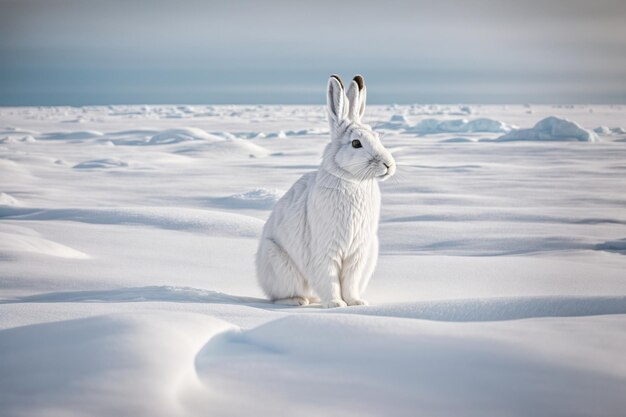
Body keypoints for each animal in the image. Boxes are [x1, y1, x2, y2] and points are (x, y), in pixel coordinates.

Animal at [255, 74, 394, 306]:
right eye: (356, 143)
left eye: (377, 138)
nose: (389, 165)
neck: (353, 181)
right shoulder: (325, 249)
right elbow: (329, 279)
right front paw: (336, 304)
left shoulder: (358, 254)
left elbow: (350, 282)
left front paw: (356, 303)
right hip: (278, 261)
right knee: (279, 295)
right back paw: (297, 301)